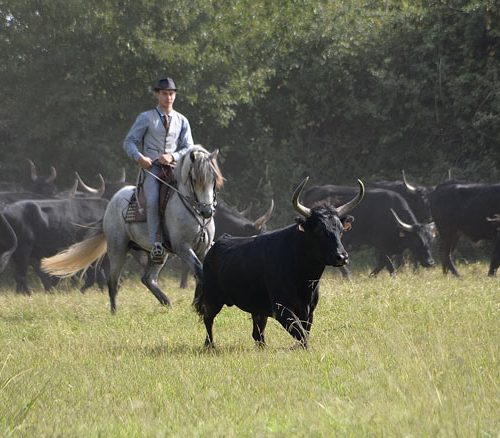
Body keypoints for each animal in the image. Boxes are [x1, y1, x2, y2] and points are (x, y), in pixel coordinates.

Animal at [42, 146, 224, 312]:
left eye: (214, 178)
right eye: (194, 179)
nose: (207, 211)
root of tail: (112, 202)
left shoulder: (203, 248)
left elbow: (201, 273)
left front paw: (198, 305)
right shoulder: (183, 247)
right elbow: (200, 271)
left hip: (158, 253)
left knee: (148, 279)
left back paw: (167, 303)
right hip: (117, 249)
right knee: (113, 281)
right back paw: (115, 312)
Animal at [192, 176, 364, 348]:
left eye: (340, 230)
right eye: (319, 230)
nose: (342, 256)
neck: (304, 278)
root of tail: (219, 242)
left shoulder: (309, 311)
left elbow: (304, 333)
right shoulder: (282, 309)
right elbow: (301, 334)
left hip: (257, 307)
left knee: (257, 332)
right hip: (212, 296)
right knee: (208, 319)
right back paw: (209, 345)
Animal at [298, 186, 436, 276]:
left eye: (430, 241)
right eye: (417, 241)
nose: (430, 262)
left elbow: (383, 265)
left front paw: (371, 276)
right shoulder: (380, 245)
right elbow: (389, 266)